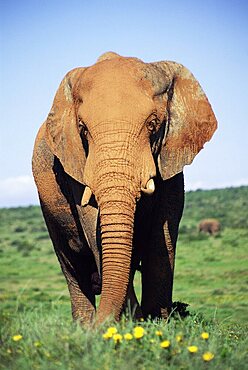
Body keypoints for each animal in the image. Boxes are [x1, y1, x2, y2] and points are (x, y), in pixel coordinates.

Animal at [32, 51, 217, 324]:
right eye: (82, 129)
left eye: (153, 124)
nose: (101, 325)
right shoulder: (74, 163)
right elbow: (92, 224)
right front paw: (131, 322)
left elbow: (163, 233)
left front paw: (157, 322)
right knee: (70, 264)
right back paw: (84, 325)